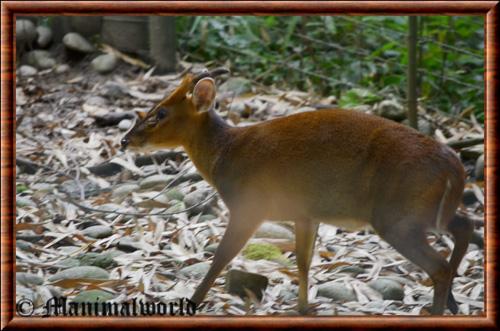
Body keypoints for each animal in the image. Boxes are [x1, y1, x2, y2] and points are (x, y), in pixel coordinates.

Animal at [121, 68, 472, 316]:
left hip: (396, 217)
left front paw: (193, 302)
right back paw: (453, 303)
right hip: (424, 212)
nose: (126, 139)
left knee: (440, 265)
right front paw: (303, 307)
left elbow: (221, 257)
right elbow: (303, 261)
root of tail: (455, 166)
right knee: (464, 227)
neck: (226, 152)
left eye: (160, 113)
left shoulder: (249, 206)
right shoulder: (305, 214)